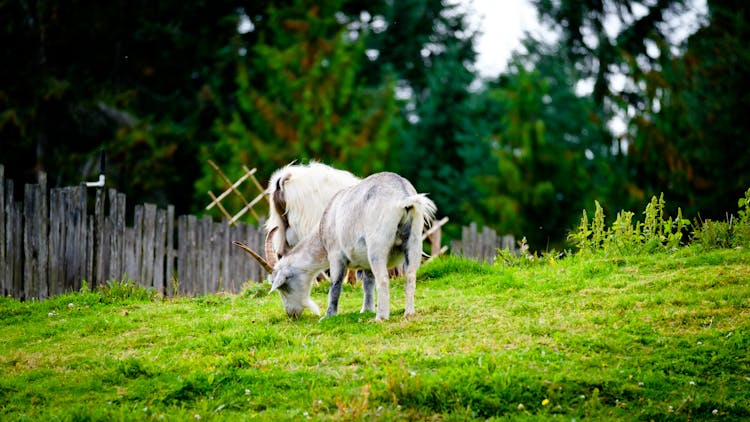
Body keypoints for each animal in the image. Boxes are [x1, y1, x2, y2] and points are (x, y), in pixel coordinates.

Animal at [234, 173, 434, 322]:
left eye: (283, 286)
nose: (291, 314)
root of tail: (403, 197)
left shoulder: (336, 255)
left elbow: (335, 284)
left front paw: (329, 315)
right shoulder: (365, 261)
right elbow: (368, 284)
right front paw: (366, 310)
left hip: (377, 246)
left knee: (383, 278)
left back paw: (380, 317)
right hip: (413, 241)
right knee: (410, 275)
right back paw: (409, 313)